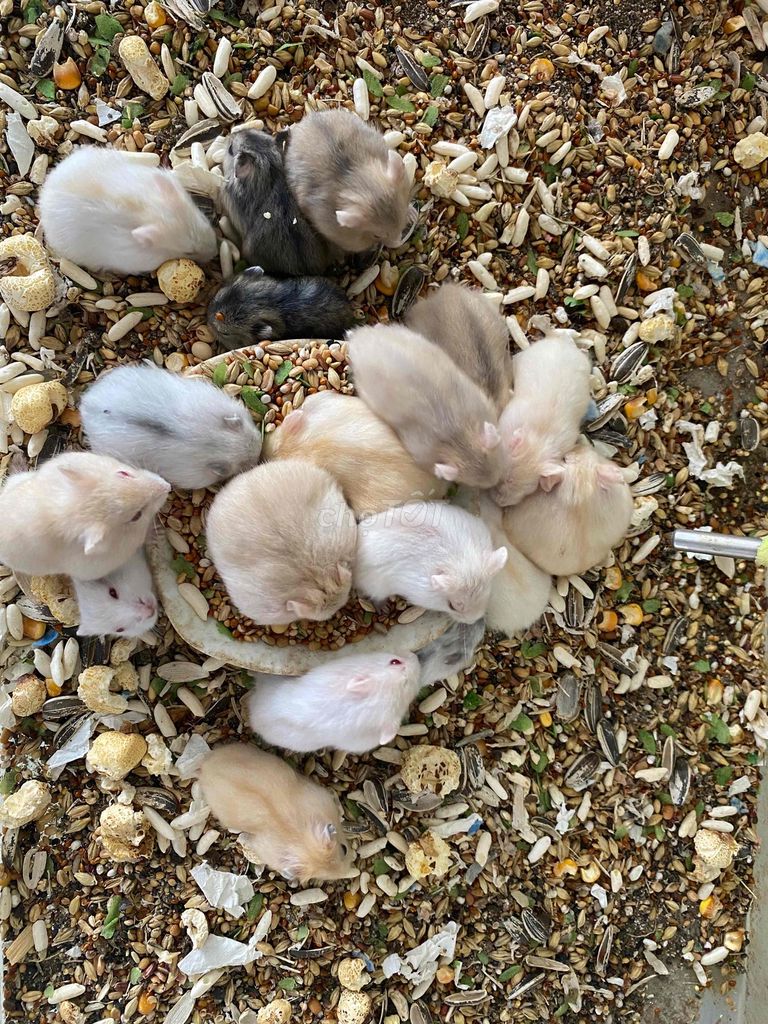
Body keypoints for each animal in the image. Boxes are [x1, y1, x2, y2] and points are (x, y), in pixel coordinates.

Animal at [354, 501, 507, 623]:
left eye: (489, 595)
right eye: (452, 606)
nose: (472, 621)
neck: (462, 561)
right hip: (376, 586)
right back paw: (383, 608)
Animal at [493, 336, 592, 507]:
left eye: (527, 489)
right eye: (505, 478)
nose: (498, 503)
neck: (537, 445)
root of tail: (559, 341)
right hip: (521, 359)